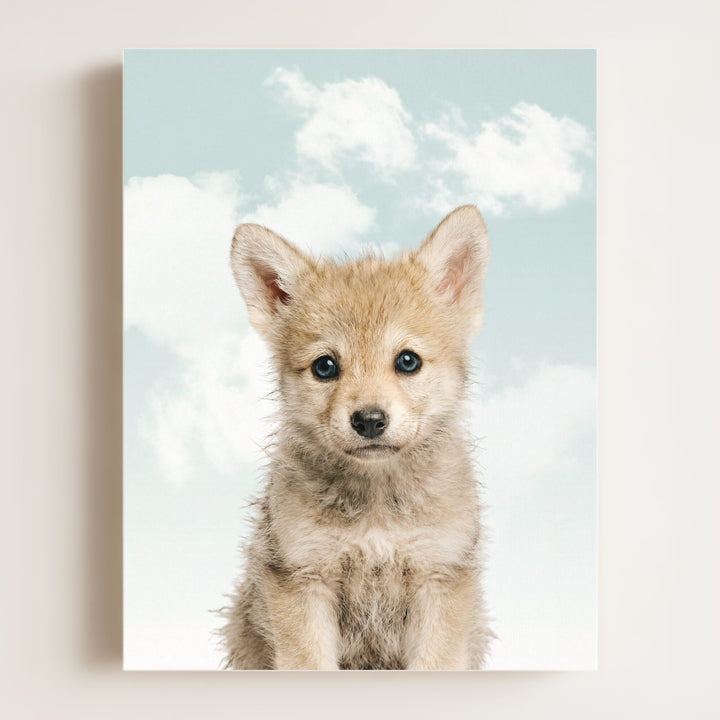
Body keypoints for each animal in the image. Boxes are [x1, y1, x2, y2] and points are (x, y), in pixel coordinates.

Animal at [220, 205, 492, 670]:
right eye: (325, 366)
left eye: (407, 361)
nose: (368, 420)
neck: (376, 510)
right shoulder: (303, 579)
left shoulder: (439, 577)